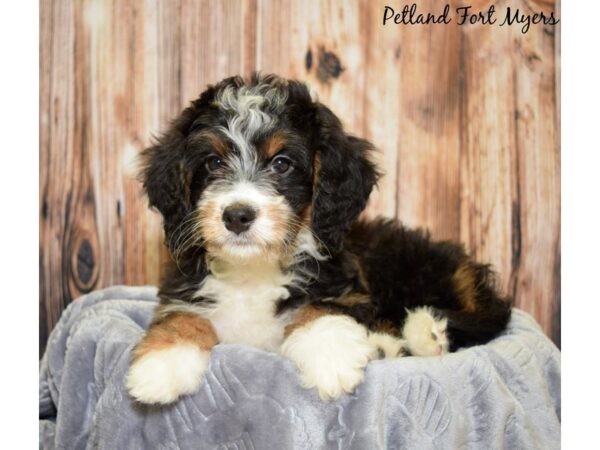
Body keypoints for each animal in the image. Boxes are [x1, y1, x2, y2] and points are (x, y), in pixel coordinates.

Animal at [125, 74, 510, 404]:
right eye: (213, 162)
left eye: (282, 163)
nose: (237, 215)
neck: (253, 270)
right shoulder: (183, 290)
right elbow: (181, 316)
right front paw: (162, 363)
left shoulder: (345, 287)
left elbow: (320, 308)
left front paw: (330, 354)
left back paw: (424, 333)